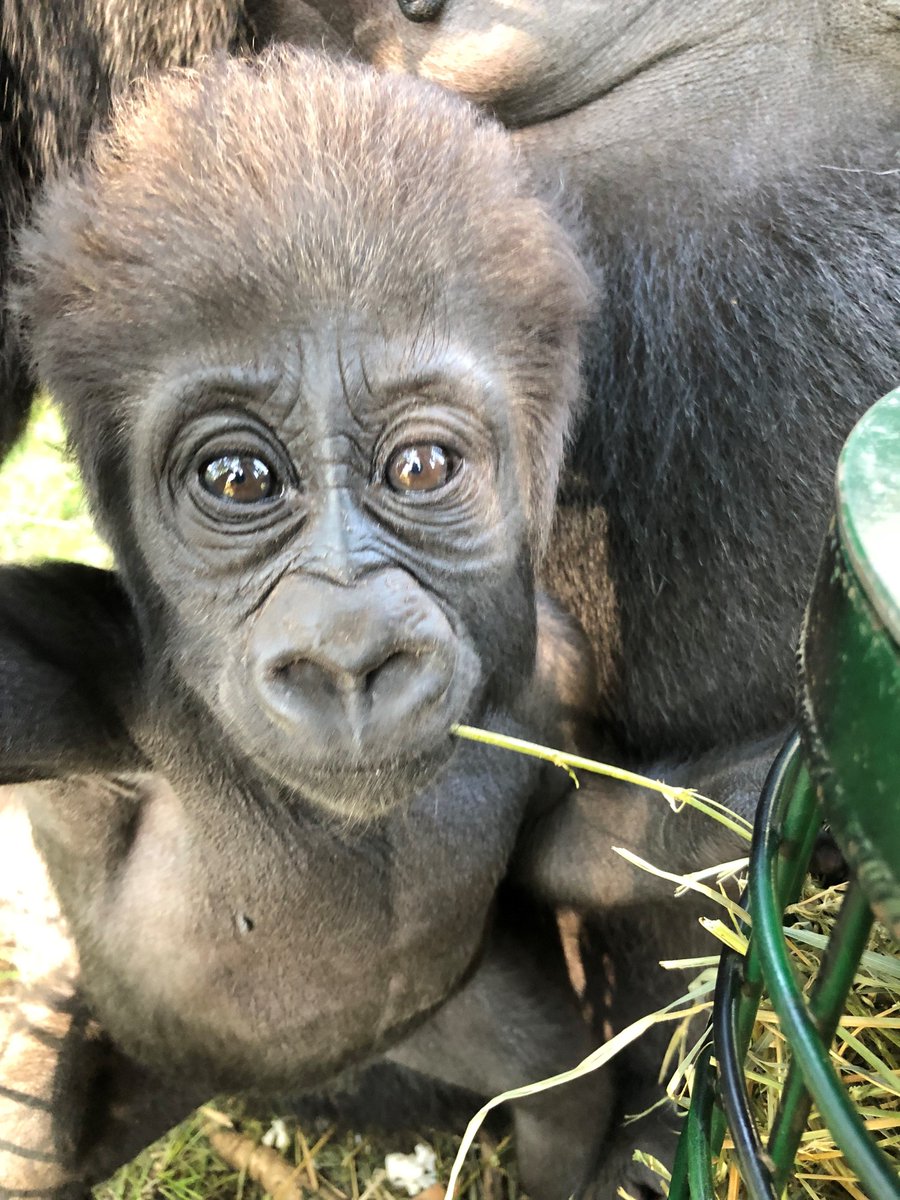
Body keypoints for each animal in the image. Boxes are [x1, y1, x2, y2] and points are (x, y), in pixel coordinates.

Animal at [0, 47, 632, 1200]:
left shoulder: (556, 679)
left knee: (559, 1082)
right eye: (238, 479)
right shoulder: (78, 679)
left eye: (421, 467)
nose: (349, 655)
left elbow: (589, 841)